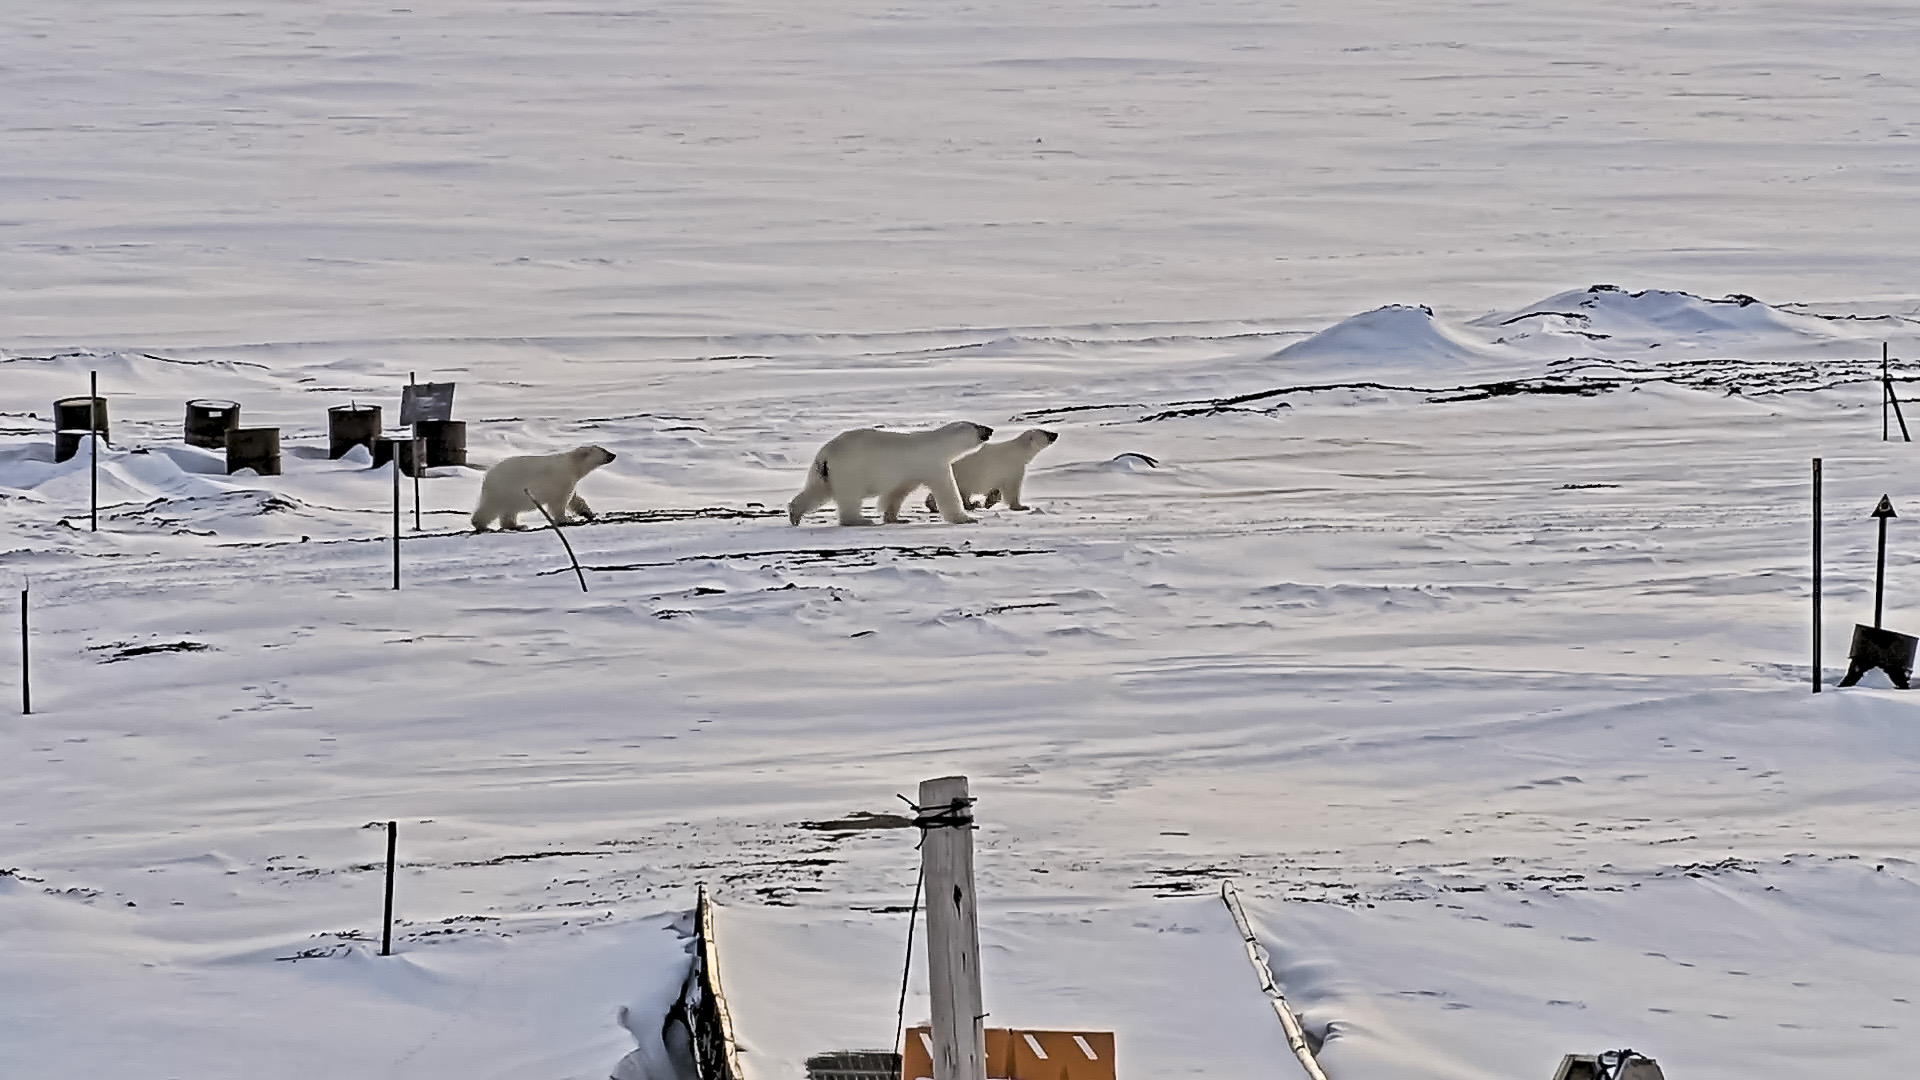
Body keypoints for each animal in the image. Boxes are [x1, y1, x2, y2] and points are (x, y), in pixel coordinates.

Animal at [471, 444, 616, 532]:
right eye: (604, 450)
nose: (613, 454)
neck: (572, 465)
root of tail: (487, 475)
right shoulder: (561, 480)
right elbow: (559, 503)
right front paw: (566, 519)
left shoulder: (570, 482)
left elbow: (575, 499)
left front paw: (588, 513)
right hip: (503, 488)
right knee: (491, 508)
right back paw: (480, 525)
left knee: (508, 511)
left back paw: (518, 525)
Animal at [788, 421, 993, 526]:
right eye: (976, 426)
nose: (990, 429)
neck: (938, 443)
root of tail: (825, 455)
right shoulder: (932, 464)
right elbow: (947, 491)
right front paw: (967, 518)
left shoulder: (910, 472)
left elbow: (897, 493)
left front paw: (895, 518)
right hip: (849, 469)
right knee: (849, 496)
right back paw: (860, 520)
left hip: (823, 473)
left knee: (817, 491)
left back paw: (794, 514)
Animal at [923, 427, 1059, 513]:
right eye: (1046, 432)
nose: (1056, 434)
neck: (1018, 452)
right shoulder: (1012, 467)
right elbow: (1012, 488)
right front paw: (1021, 506)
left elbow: (996, 489)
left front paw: (989, 502)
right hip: (963, 473)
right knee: (963, 490)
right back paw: (971, 505)